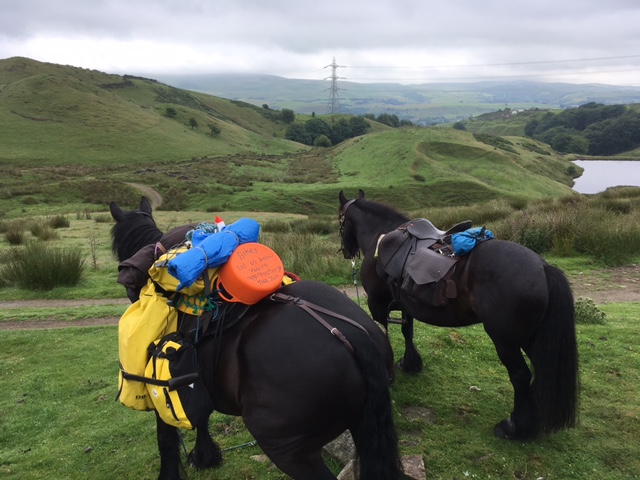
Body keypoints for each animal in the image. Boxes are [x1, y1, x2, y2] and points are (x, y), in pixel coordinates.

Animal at [108, 198, 402, 480]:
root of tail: (349, 335)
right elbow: (201, 418)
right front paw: (205, 456)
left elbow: (166, 441)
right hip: (363, 427)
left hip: (288, 450)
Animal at [340, 189, 580, 440]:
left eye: (340, 219)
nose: (346, 251)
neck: (381, 236)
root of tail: (542, 267)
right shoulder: (406, 304)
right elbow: (408, 332)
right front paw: (410, 363)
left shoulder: (377, 304)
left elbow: (384, 334)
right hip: (533, 339)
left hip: (506, 342)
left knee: (521, 376)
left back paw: (514, 427)